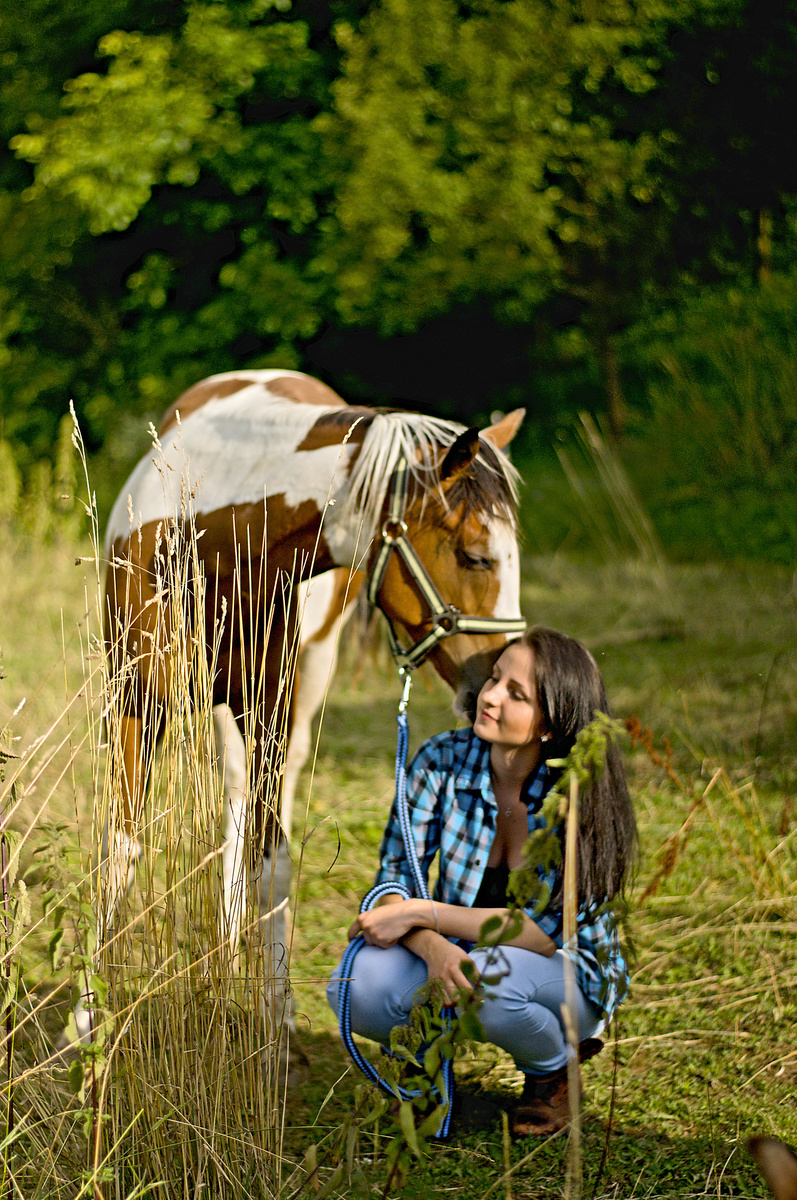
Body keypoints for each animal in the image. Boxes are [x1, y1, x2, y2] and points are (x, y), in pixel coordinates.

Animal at [91, 369, 523, 1036]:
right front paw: (85, 1022)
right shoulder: (133, 702)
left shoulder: (274, 709)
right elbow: (120, 850)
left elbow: (273, 863)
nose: (495, 685)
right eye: (475, 556)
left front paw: (274, 1014)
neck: (208, 536)